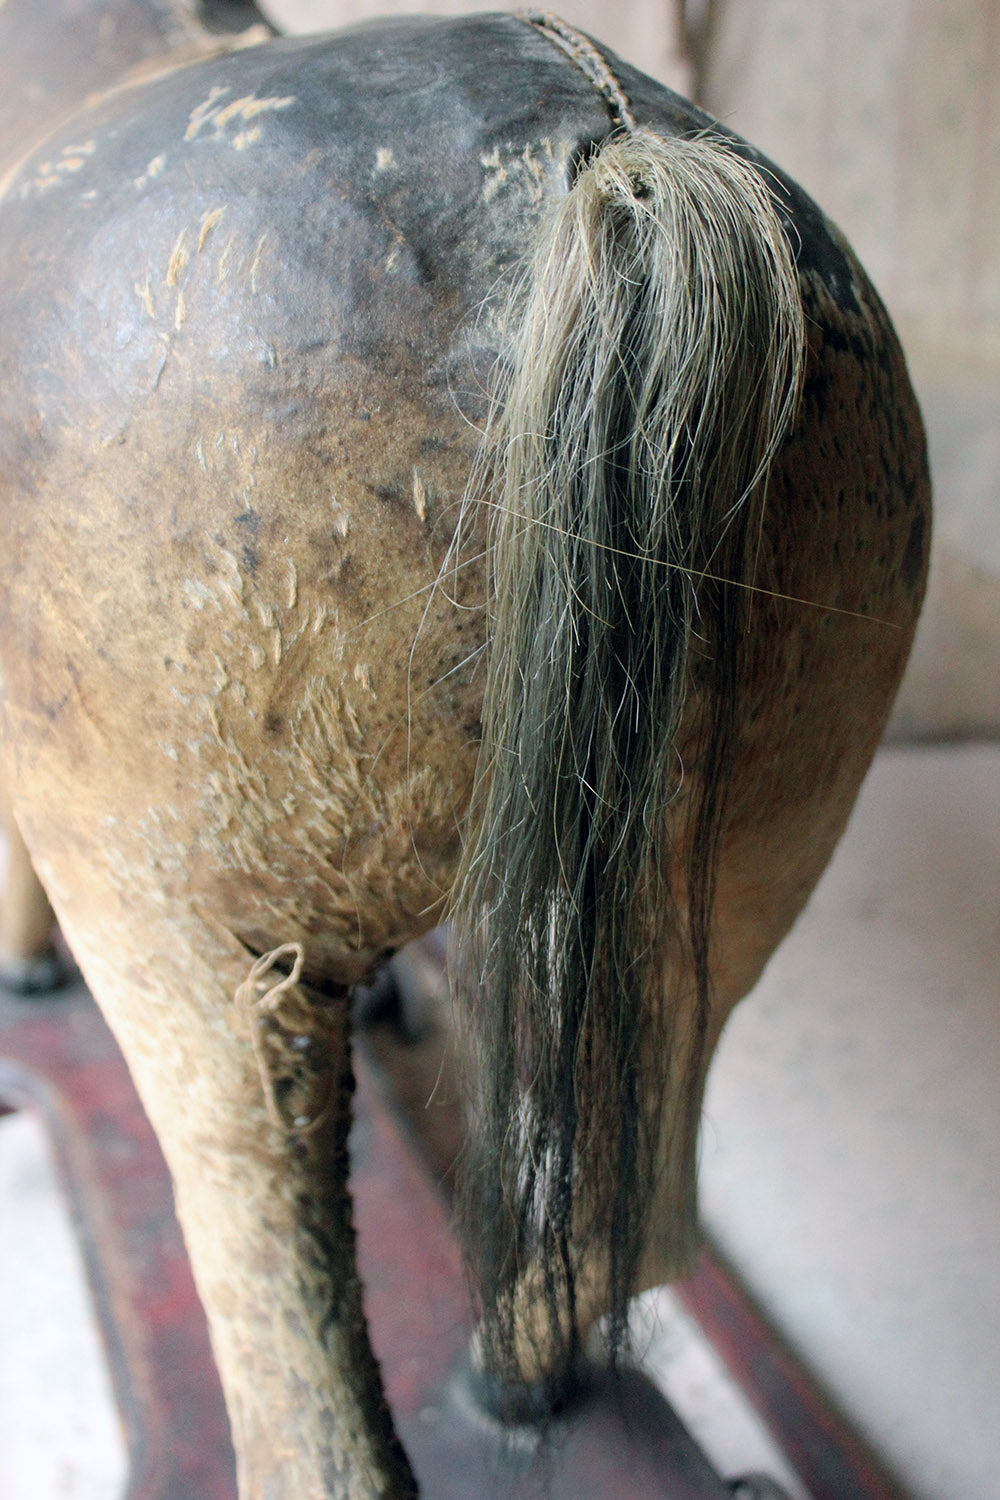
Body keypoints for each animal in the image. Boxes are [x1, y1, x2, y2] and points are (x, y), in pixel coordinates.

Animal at [0, 7, 930, 1497]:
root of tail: (620, 163)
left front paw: (23, 974)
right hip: (733, 894)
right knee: (634, 1215)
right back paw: (516, 1380)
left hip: (193, 935)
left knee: (291, 1353)